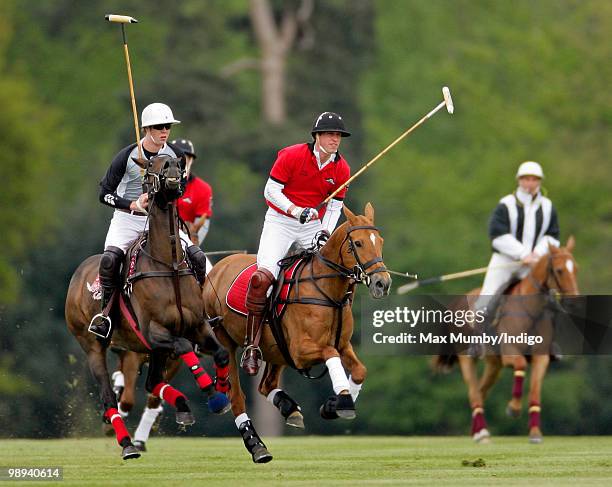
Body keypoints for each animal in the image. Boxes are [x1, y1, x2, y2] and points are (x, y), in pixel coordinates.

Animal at [65, 155, 231, 462]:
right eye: (152, 167)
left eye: (176, 161)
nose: (174, 173)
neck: (169, 266)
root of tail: (79, 272)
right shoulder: (153, 332)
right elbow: (182, 347)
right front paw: (211, 392)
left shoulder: (197, 326)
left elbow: (221, 352)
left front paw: (221, 391)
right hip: (92, 345)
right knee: (110, 395)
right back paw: (126, 443)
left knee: (151, 385)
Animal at [203, 203, 390, 466]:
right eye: (359, 243)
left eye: (380, 241)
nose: (383, 283)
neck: (328, 292)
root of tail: (218, 267)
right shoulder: (301, 350)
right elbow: (329, 353)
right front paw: (342, 401)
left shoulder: (343, 344)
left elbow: (360, 370)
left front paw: (333, 405)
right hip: (226, 341)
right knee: (237, 397)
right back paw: (258, 447)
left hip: (275, 349)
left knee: (266, 385)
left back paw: (288, 407)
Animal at [436, 237, 580, 446]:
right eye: (559, 270)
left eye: (575, 268)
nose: (575, 301)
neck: (531, 310)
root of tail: (458, 302)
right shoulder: (510, 352)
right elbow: (520, 364)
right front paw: (513, 408)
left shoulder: (541, 357)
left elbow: (535, 392)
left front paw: (535, 432)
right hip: (466, 358)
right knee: (474, 393)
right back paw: (482, 432)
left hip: (494, 364)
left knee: (481, 391)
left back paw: (476, 432)